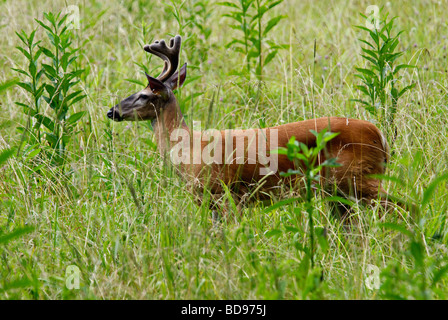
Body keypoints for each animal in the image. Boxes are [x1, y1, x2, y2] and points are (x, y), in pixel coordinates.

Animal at [107, 35, 394, 220]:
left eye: (144, 94)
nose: (112, 111)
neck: (188, 148)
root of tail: (380, 135)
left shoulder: (223, 193)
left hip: (358, 177)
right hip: (339, 192)